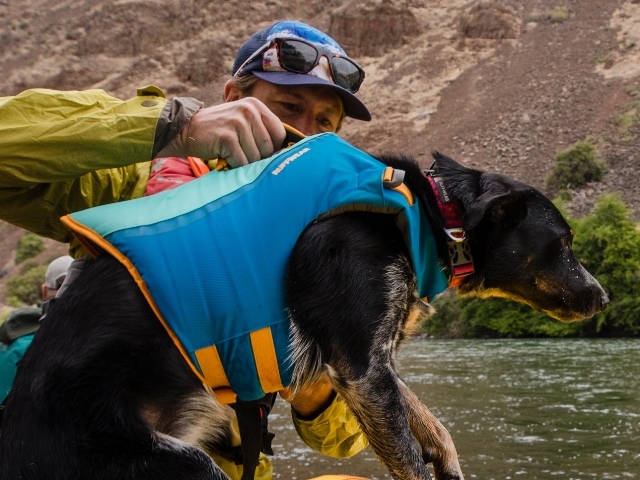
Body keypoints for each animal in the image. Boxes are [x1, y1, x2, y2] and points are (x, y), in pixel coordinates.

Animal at [0, 145, 604, 480]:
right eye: (563, 243)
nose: (602, 297)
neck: (428, 213)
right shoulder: (360, 367)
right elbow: (409, 458)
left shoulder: (367, 365)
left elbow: (429, 421)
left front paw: (448, 456)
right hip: (172, 463)